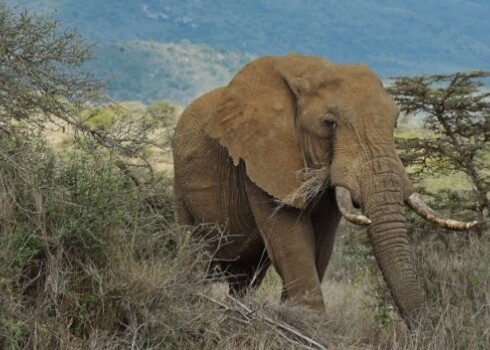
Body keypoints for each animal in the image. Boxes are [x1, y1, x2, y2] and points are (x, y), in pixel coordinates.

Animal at [170, 52, 476, 328]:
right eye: (329, 124)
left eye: (395, 123)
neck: (310, 71)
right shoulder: (259, 159)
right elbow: (291, 240)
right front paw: (311, 326)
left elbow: (322, 242)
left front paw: (297, 319)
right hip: (181, 193)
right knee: (195, 256)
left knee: (246, 277)